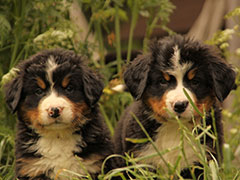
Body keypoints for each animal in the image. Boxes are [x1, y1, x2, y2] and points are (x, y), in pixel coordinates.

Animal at [3, 49, 112, 180]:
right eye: (38, 91)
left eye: (69, 88)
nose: (54, 110)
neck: (58, 137)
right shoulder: (31, 168)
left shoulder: (94, 164)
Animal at [114, 34, 236, 179]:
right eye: (162, 81)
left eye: (195, 81)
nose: (179, 105)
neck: (174, 128)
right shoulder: (142, 161)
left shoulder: (203, 159)